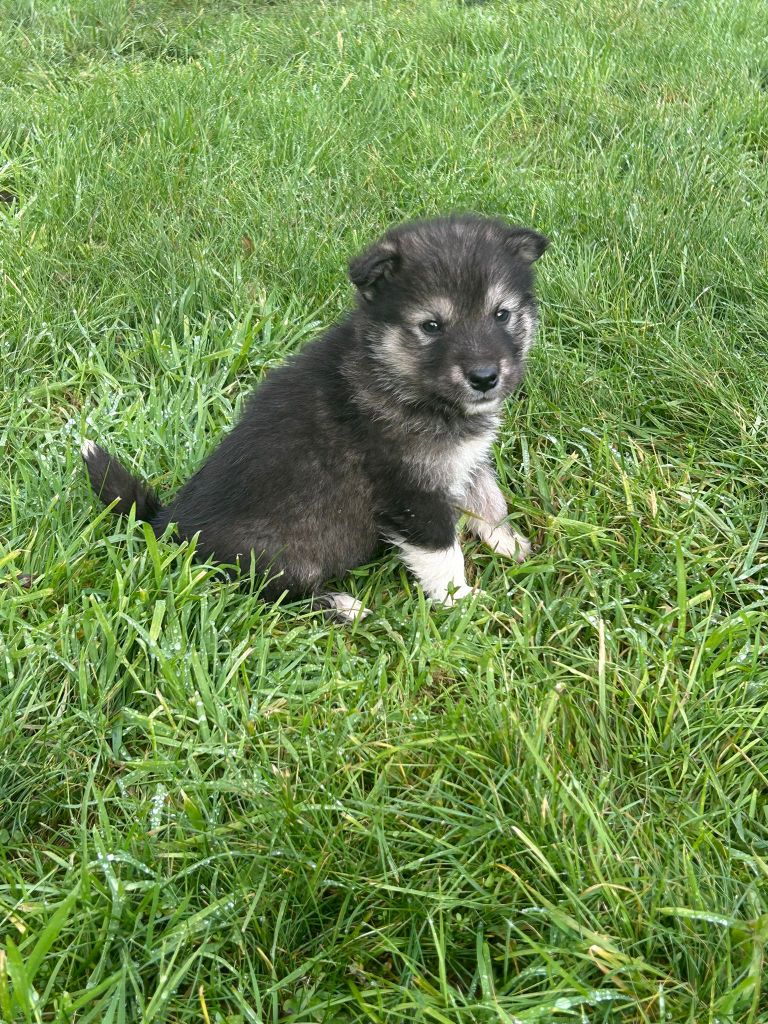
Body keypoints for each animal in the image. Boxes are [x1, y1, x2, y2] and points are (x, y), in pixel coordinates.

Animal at [82, 211, 548, 618]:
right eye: (432, 326)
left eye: (501, 314)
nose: (485, 378)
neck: (394, 375)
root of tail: (170, 527)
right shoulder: (411, 492)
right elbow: (442, 553)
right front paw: (461, 601)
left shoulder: (465, 459)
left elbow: (488, 500)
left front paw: (509, 543)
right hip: (274, 557)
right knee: (273, 594)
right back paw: (342, 606)